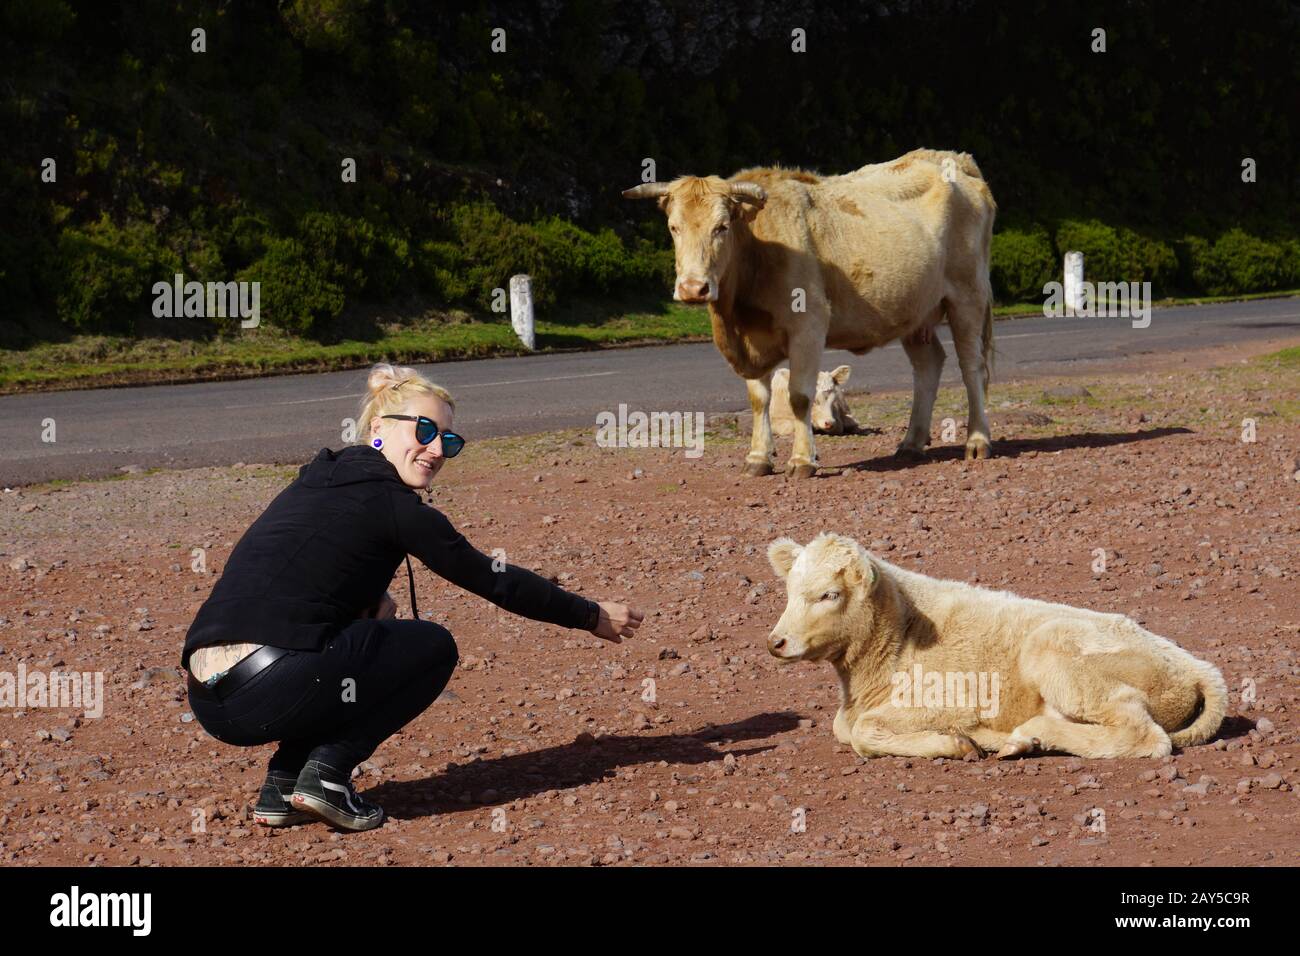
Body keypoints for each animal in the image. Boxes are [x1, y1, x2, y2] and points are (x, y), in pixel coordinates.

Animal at [769, 530, 1227, 764]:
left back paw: (1028, 735)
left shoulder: (948, 700)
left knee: (1144, 736)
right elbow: (844, 727)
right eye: (788, 590)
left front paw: (954, 744)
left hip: (1063, 658)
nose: (776, 642)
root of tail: (1197, 667)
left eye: (829, 595)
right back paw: (1023, 741)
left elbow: (862, 731)